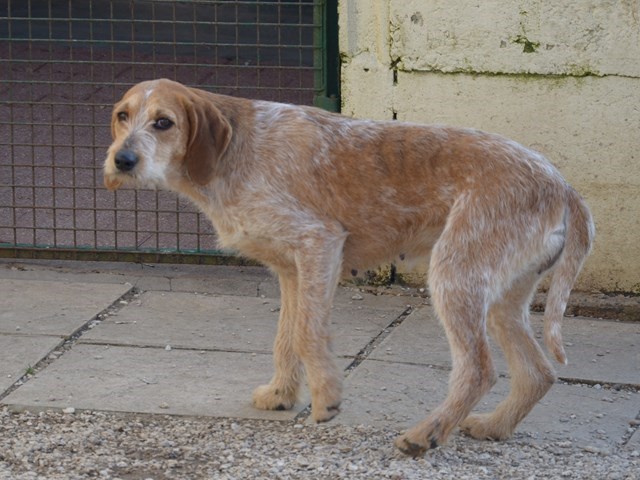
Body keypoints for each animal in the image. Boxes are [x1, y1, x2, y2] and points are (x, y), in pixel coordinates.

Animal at [105, 77, 596, 456]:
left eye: (164, 122)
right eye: (122, 116)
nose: (121, 160)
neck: (237, 151)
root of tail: (562, 185)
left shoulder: (319, 244)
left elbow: (307, 334)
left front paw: (326, 400)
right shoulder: (291, 270)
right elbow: (286, 337)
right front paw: (282, 394)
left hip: (455, 277)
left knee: (478, 368)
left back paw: (425, 435)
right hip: (501, 298)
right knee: (537, 372)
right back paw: (494, 426)